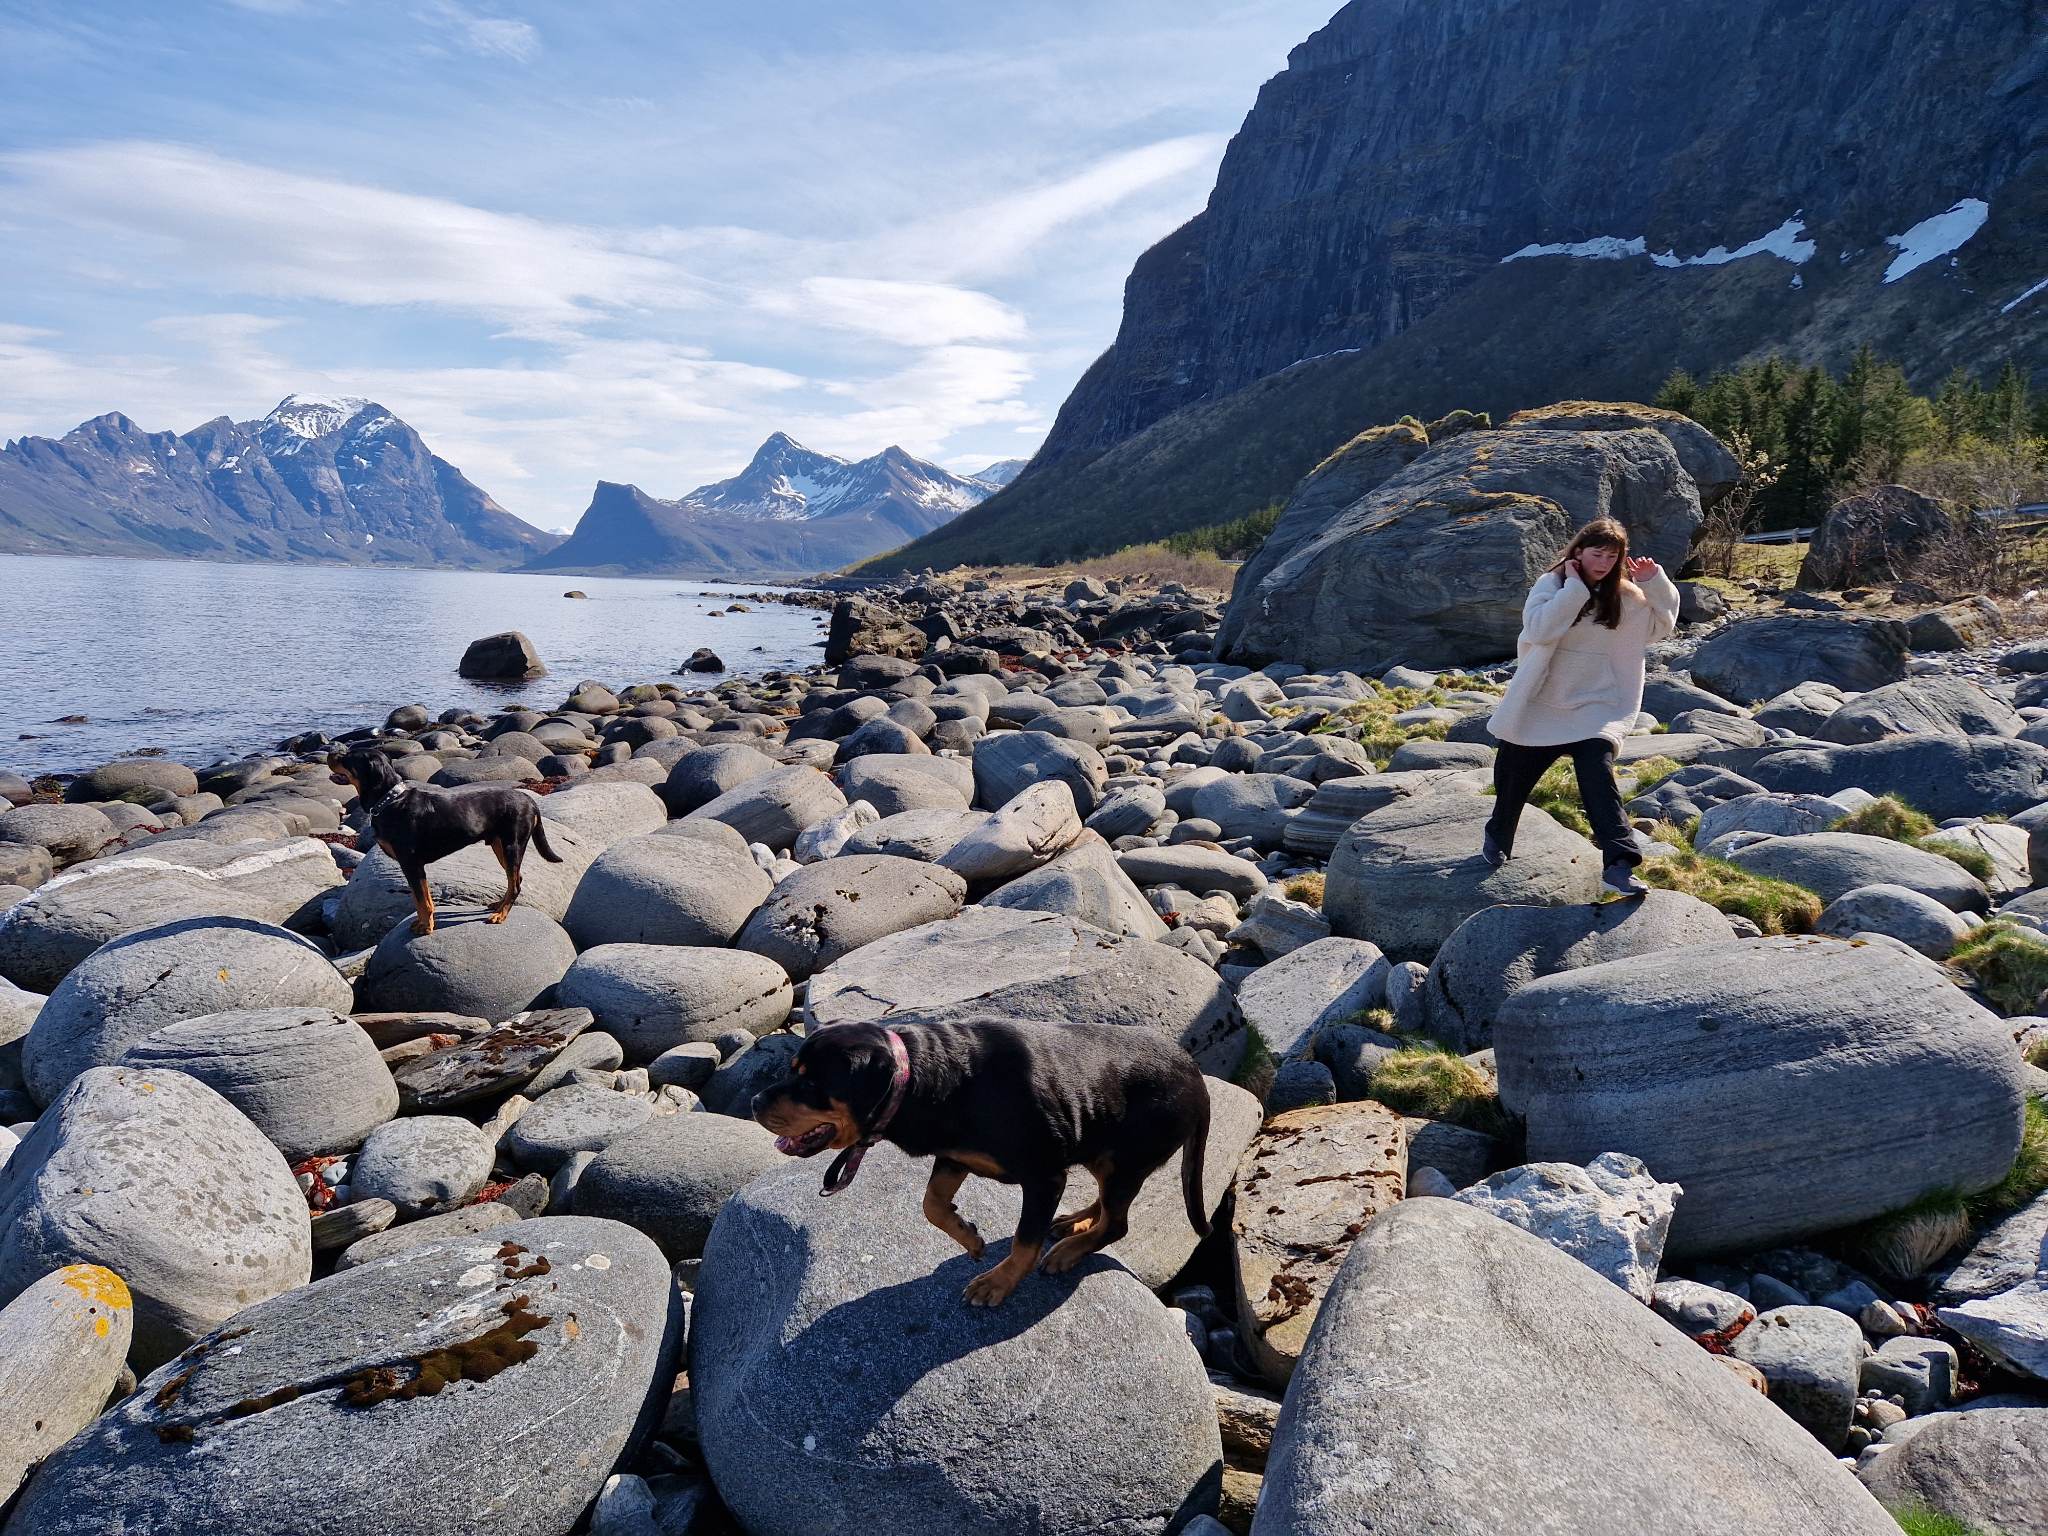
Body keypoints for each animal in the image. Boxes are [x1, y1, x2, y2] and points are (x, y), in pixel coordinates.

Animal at [331, 745, 565, 937]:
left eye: (348, 758)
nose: (331, 753)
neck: (390, 800)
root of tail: (530, 800)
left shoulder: (412, 864)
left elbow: (423, 900)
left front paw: (426, 927)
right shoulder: (412, 867)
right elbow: (419, 899)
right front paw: (422, 923)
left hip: (512, 845)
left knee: (515, 884)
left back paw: (500, 915)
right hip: (500, 846)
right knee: (516, 879)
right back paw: (499, 905)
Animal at [753, 1028, 1204, 1302]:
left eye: (811, 1084)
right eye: (793, 1073)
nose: (755, 1102)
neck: (928, 1079)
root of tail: (1196, 1076)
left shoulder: (1044, 1177)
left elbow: (1024, 1240)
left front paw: (998, 1284)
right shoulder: (952, 1156)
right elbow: (931, 1205)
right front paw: (968, 1236)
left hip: (1125, 1157)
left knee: (1117, 1222)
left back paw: (1069, 1250)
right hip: (1101, 1147)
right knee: (1107, 1205)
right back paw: (1073, 1223)